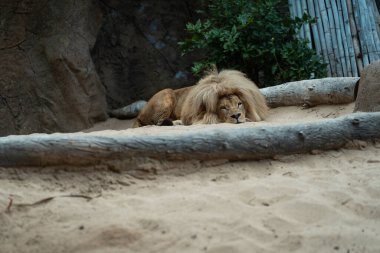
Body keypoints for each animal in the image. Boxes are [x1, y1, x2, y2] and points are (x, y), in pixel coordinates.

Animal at [133, 68, 268, 126]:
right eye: (223, 108)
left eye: (239, 104)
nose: (236, 116)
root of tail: (139, 116)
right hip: (167, 92)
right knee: (157, 122)